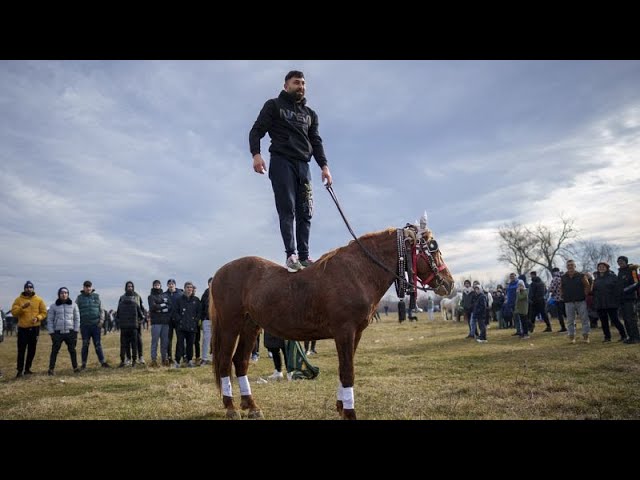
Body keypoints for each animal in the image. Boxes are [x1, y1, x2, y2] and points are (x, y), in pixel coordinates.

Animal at [210, 227, 456, 418]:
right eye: (433, 249)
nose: (449, 283)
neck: (358, 272)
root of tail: (220, 272)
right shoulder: (344, 331)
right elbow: (348, 372)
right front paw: (349, 412)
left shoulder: (356, 333)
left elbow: (344, 370)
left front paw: (341, 406)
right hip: (230, 326)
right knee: (224, 362)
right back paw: (231, 408)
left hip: (251, 327)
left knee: (240, 361)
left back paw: (251, 406)